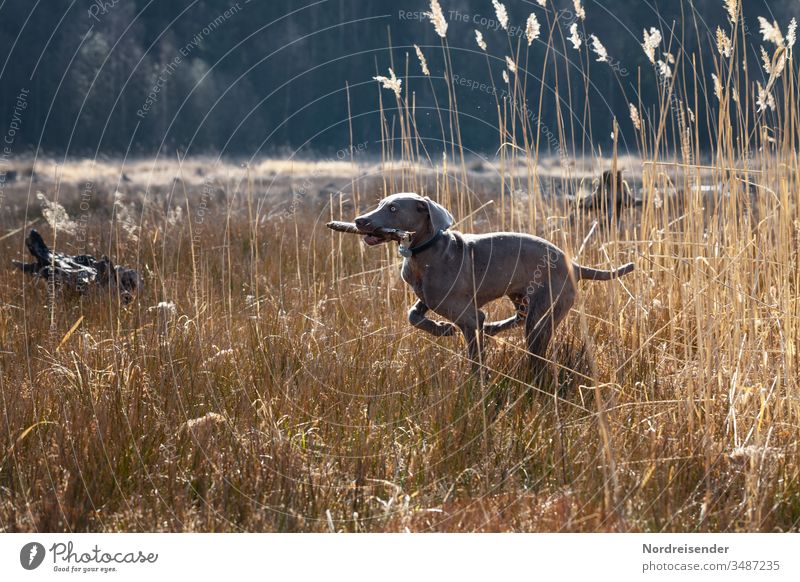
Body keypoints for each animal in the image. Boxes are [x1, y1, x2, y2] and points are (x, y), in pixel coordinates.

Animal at [354, 192, 636, 374]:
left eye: (393, 208)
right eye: (380, 205)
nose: (359, 220)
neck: (424, 252)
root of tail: (574, 265)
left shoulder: (465, 314)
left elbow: (475, 353)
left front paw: (477, 381)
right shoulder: (428, 297)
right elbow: (413, 314)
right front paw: (440, 329)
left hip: (544, 312)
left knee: (535, 345)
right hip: (521, 296)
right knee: (518, 318)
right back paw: (492, 327)